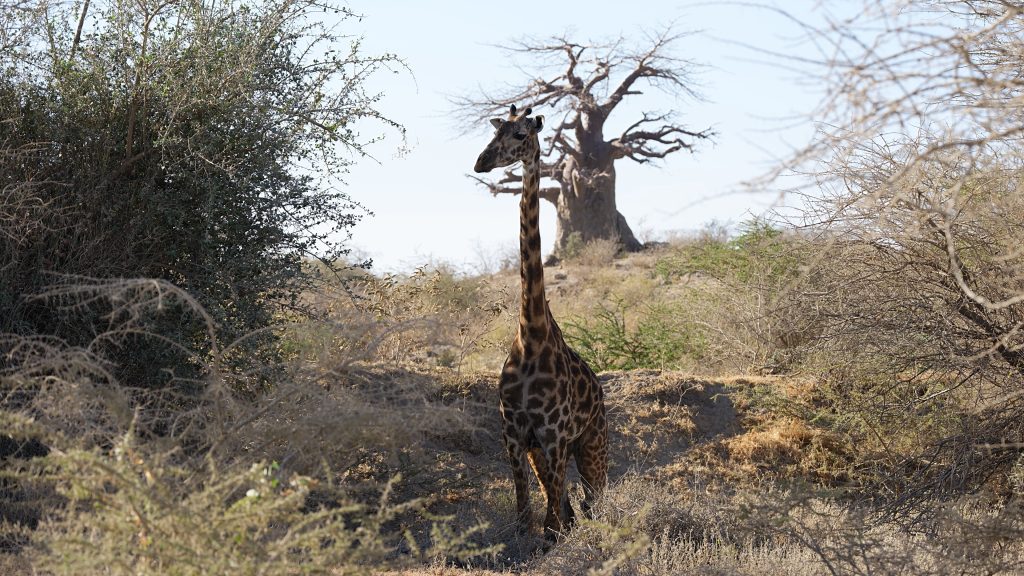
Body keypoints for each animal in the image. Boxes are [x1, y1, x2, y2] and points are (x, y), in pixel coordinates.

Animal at [474, 104, 609, 541]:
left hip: (592, 444)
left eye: (520, 135)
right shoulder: (515, 435)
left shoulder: (555, 436)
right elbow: (524, 517)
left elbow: (552, 523)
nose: (481, 162)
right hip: (546, 450)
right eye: (495, 131)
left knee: (592, 502)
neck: (531, 334)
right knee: (569, 507)